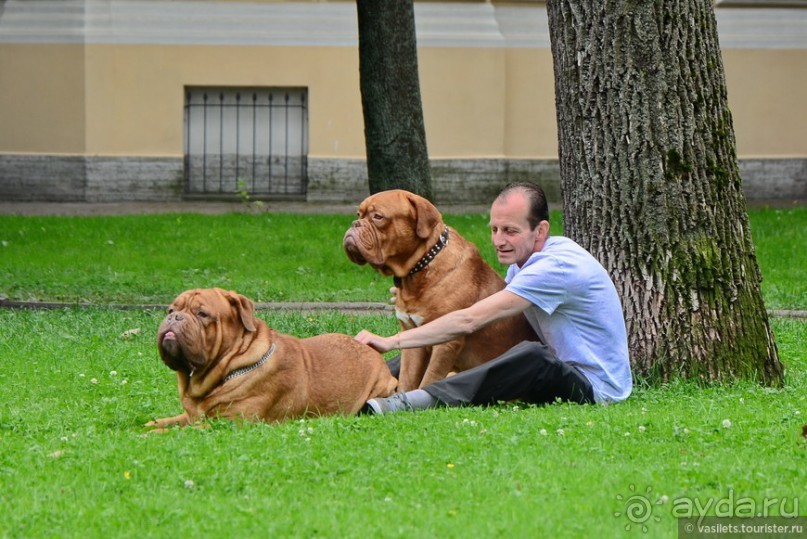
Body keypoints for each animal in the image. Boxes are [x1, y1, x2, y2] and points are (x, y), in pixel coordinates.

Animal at [147, 286, 400, 430]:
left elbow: (175, 432)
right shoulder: (192, 416)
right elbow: (163, 422)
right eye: (171, 310)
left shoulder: (229, 424)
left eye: (202, 314)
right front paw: (146, 426)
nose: (175, 318)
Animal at [340, 190, 536, 392]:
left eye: (378, 217)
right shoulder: (411, 337)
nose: (354, 224)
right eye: (358, 215)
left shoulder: (446, 344)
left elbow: (429, 379)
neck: (420, 267)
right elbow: (407, 379)